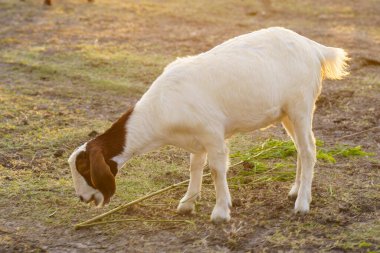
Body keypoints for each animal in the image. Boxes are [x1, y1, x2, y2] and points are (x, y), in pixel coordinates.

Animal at [67, 26, 348, 222]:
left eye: (84, 167)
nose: (81, 197)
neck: (160, 109)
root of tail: (314, 48)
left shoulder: (213, 134)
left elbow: (215, 169)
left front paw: (221, 211)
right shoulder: (197, 138)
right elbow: (195, 167)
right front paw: (187, 203)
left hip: (301, 106)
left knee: (309, 150)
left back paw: (302, 204)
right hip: (287, 113)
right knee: (301, 148)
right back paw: (295, 190)